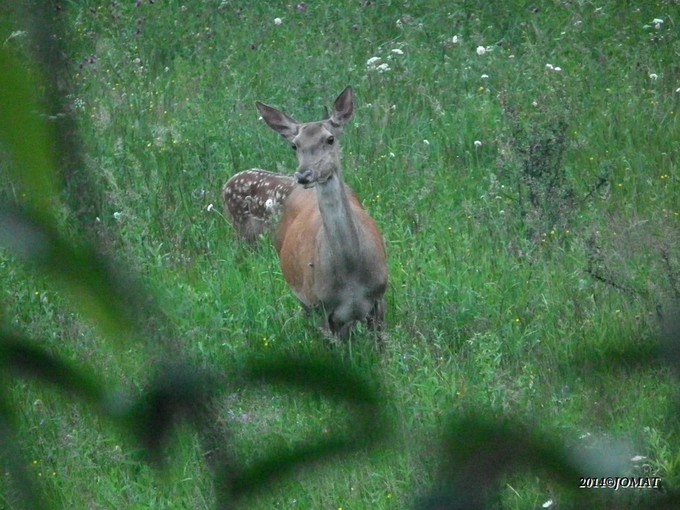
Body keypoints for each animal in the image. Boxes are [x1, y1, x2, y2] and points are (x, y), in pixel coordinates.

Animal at [256, 87, 388, 340]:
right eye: (294, 145)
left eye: (330, 138)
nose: (304, 175)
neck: (351, 275)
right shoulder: (321, 308)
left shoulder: (379, 298)